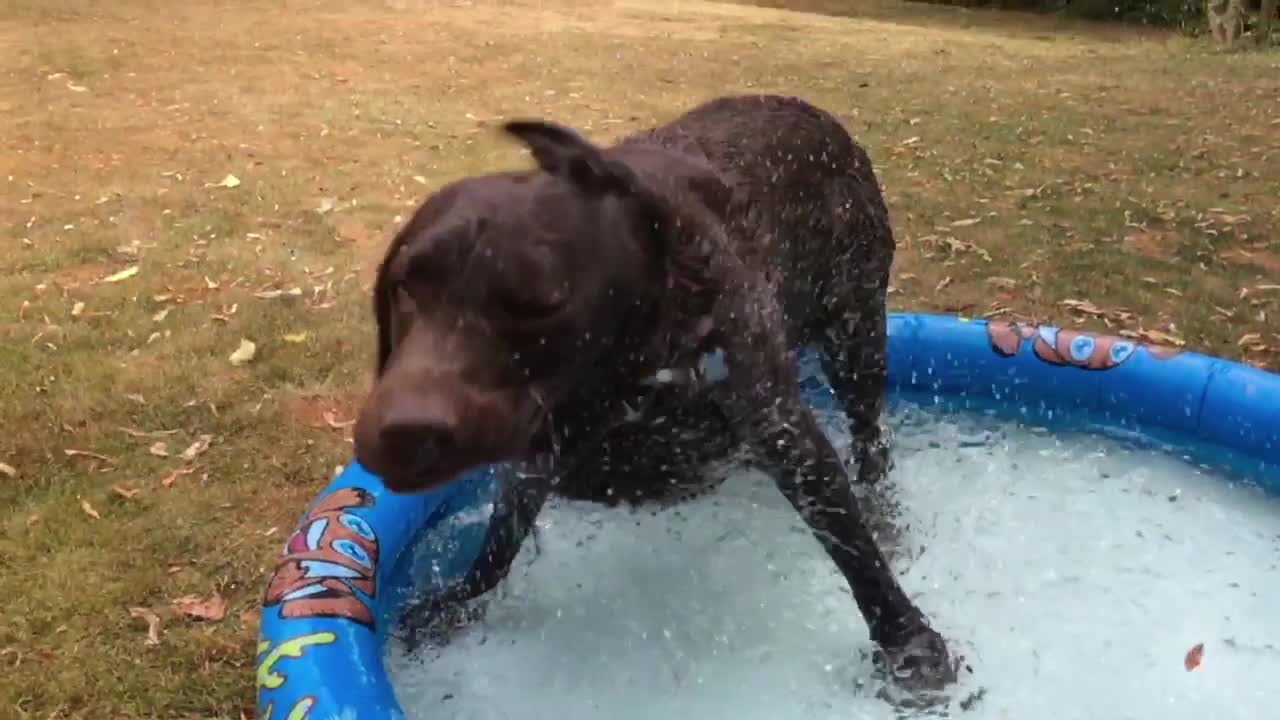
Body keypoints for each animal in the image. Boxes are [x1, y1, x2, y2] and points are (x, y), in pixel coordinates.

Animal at [355, 92, 957, 691]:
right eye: (404, 286)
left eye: (541, 303)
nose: (406, 433)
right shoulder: (536, 459)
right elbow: (498, 545)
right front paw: (458, 601)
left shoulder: (782, 430)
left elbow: (853, 546)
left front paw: (906, 639)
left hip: (856, 342)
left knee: (871, 444)